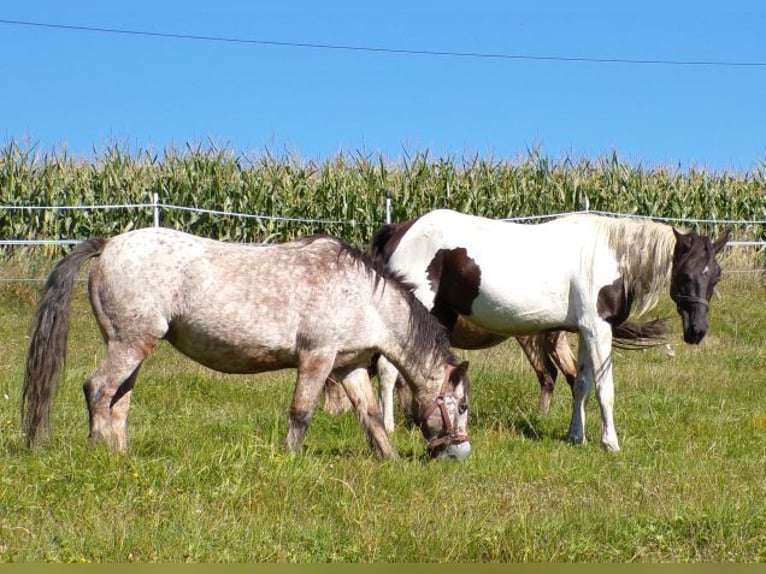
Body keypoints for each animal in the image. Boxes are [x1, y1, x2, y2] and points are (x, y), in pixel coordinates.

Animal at [20, 228, 472, 460]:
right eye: (462, 406)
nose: (460, 453)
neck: (363, 296)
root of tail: (109, 245)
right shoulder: (317, 357)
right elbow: (301, 412)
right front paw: (289, 459)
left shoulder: (348, 365)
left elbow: (371, 415)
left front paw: (389, 460)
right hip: (130, 343)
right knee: (98, 389)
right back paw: (99, 451)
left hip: (132, 346)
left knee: (120, 399)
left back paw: (122, 454)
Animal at [368, 209, 728, 451]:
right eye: (686, 274)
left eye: (715, 276)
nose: (696, 331)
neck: (609, 255)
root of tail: (401, 229)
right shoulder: (599, 330)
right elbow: (605, 388)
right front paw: (610, 442)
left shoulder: (583, 332)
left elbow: (581, 384)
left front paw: (576, 436)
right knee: (387, 370)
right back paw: (388, 425)